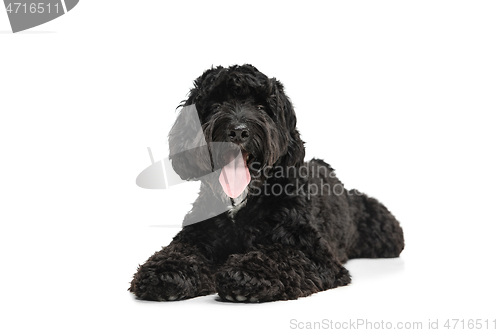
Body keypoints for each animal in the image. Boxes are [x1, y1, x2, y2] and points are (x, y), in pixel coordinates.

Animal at [129, 64, 402, 300]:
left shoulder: (313, 252)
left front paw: (246, 274)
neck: (241, 203)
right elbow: (179, 251)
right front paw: (166, 271)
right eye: (216, 104)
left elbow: (281, 257)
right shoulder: (196, 236)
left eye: (261, 107)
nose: (238, 131)